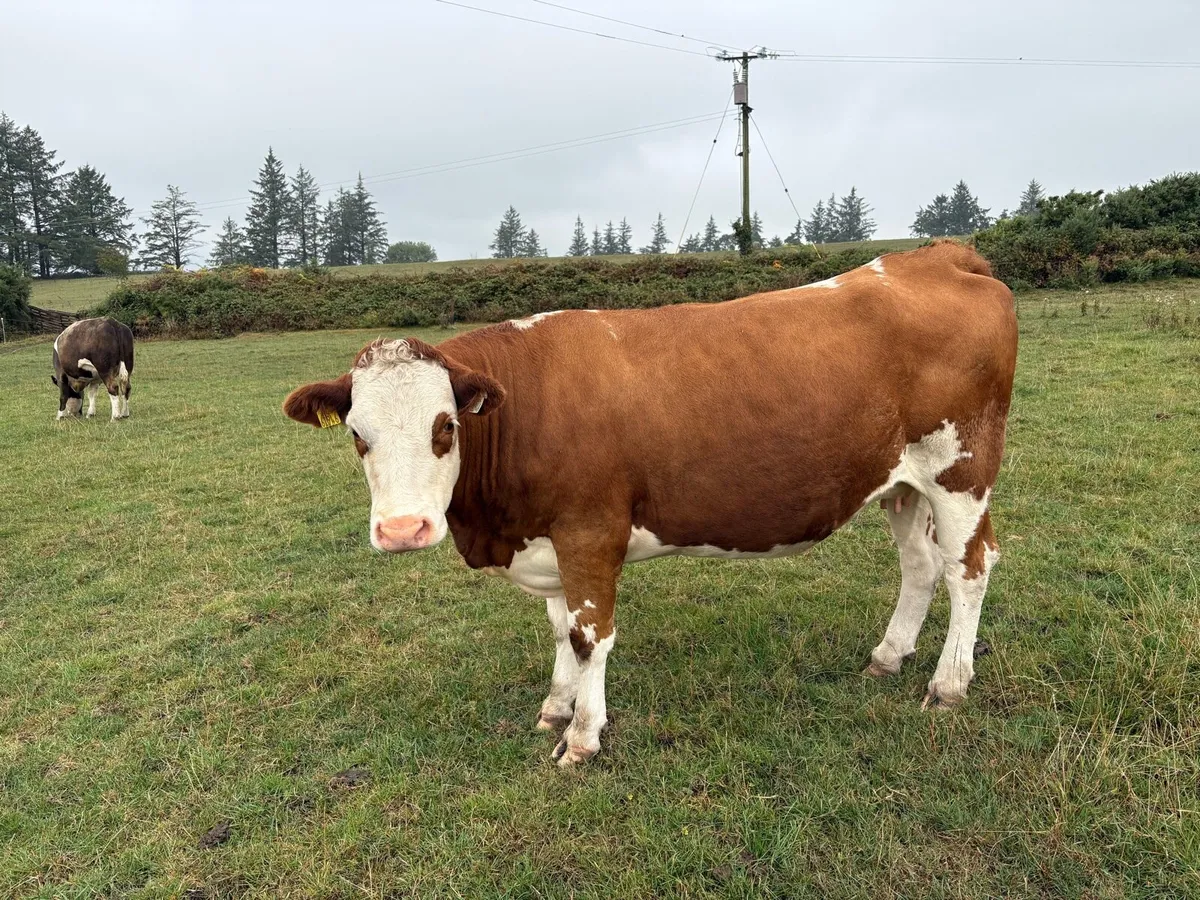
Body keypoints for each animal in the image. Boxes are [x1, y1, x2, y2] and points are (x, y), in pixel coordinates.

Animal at [283, 241, 1018, 766]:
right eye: (357, 435)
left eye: (445, 426)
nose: (403, 529)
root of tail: (935, 256)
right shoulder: (549, 540)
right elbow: (560, 630)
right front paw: (556, 706)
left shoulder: (589, 531)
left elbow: (589, 636)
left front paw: (583, 735)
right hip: (901, 483)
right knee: (920, 567)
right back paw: (888, 655)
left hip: (961, 470)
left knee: (970, 568)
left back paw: (949, 684)